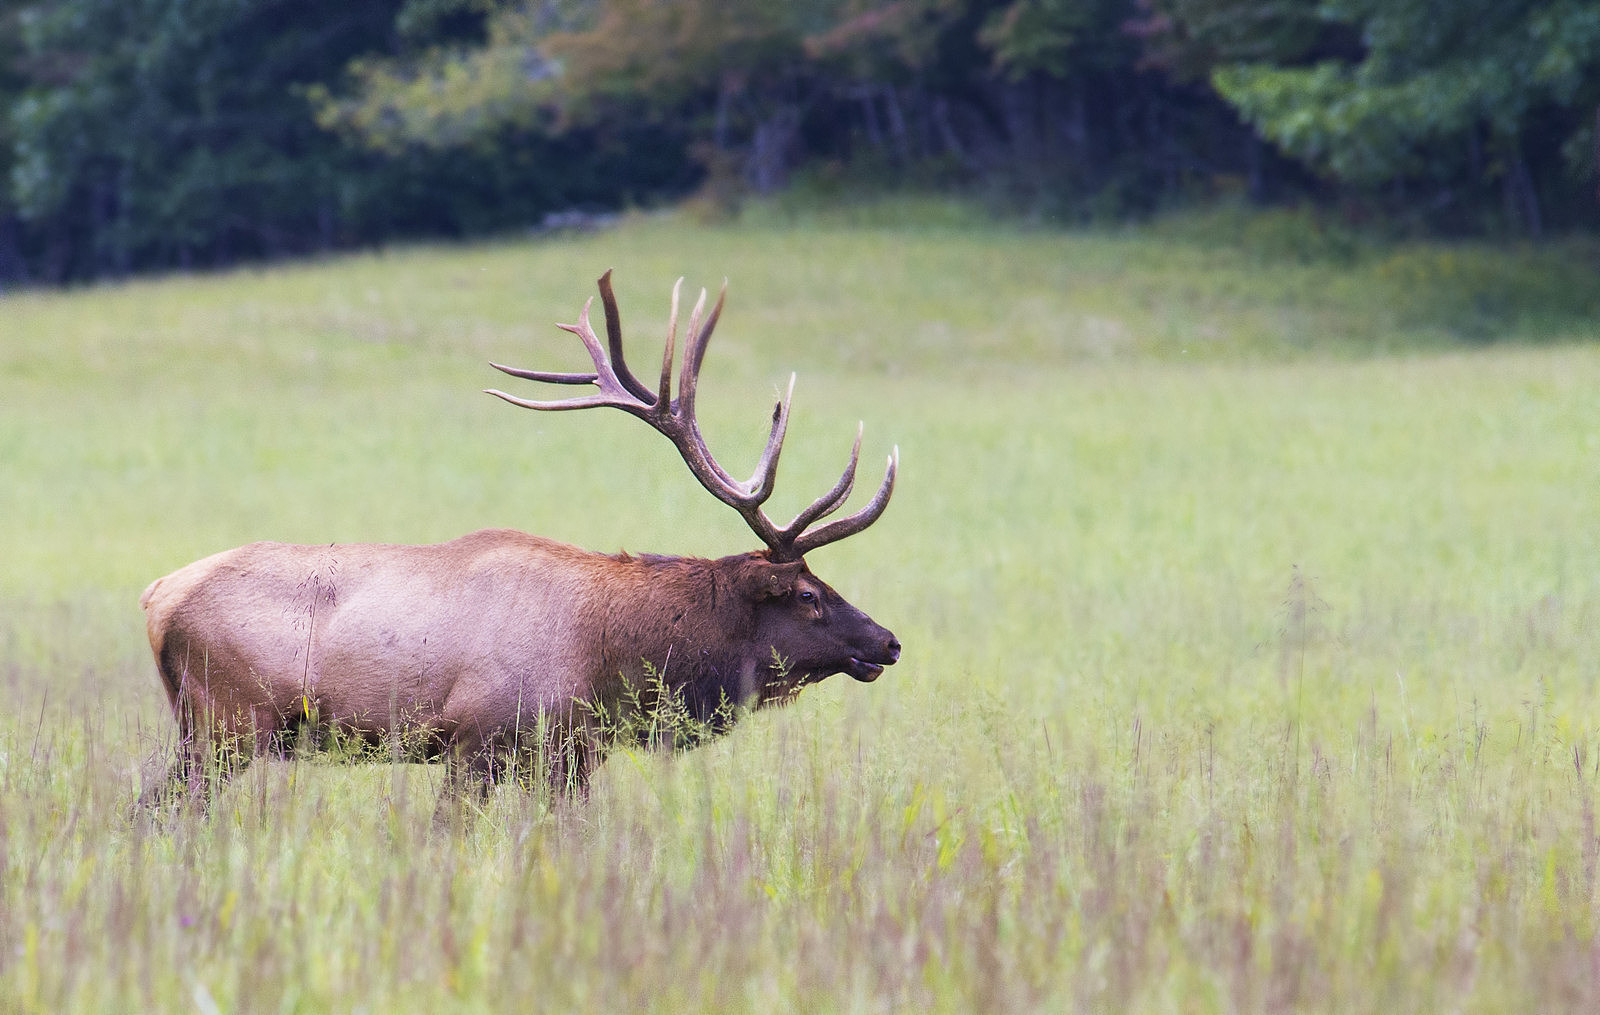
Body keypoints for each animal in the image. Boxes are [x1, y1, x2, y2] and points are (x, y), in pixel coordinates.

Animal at [137, 270, 902, 813]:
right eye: (808, 594)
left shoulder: (572, 755)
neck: (612, 655)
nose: (889, 641)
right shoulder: (478, 741)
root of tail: (155, 596)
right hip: (229, 721)